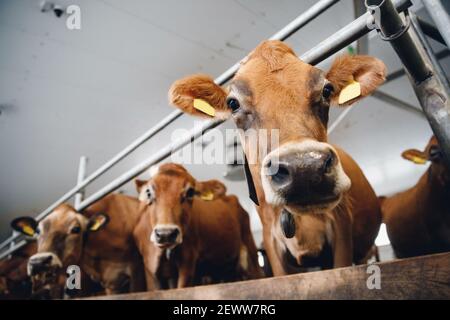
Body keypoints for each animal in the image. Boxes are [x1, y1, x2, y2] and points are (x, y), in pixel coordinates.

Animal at [132, 164, 262, 288]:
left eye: (190, 192)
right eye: (148, 192)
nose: (166, 234)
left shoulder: (188, 260)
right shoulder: (150, 269)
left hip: (249, 246)